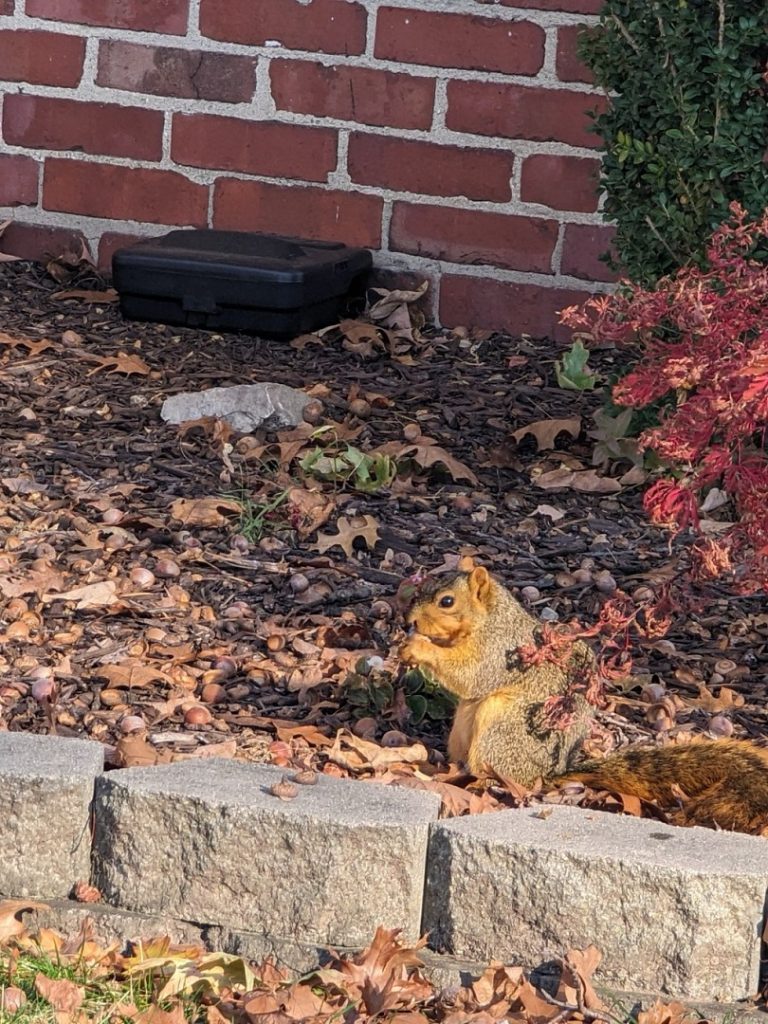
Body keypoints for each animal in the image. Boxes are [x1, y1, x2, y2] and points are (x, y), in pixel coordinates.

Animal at [397, 565, 593, 786]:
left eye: (447, 601)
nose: (409, 621)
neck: (490, 620)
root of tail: (547, 775)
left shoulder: (498, 651)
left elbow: (470, 674)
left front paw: (419, 647)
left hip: (500, 727)